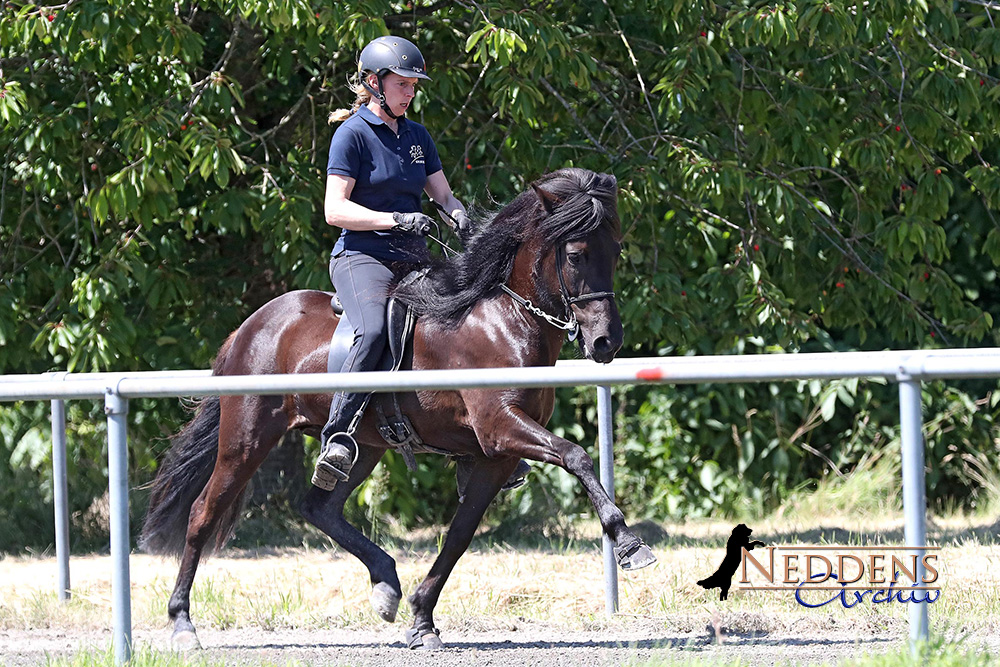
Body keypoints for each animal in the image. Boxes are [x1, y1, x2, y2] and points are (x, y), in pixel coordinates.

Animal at [139, 167, 656, 652]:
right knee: (203, 513)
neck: (502, 318)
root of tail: (250, 326)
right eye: (576, 254)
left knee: (320, 506)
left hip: (363, 446)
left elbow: (459, 536)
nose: (607, 343)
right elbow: (576, 456)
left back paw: (385, 582)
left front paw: (422, 620)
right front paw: (628, 542)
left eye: (616, 251)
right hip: (246, 441)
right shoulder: (501, 429)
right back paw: (182, 623)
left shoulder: (495, 456)